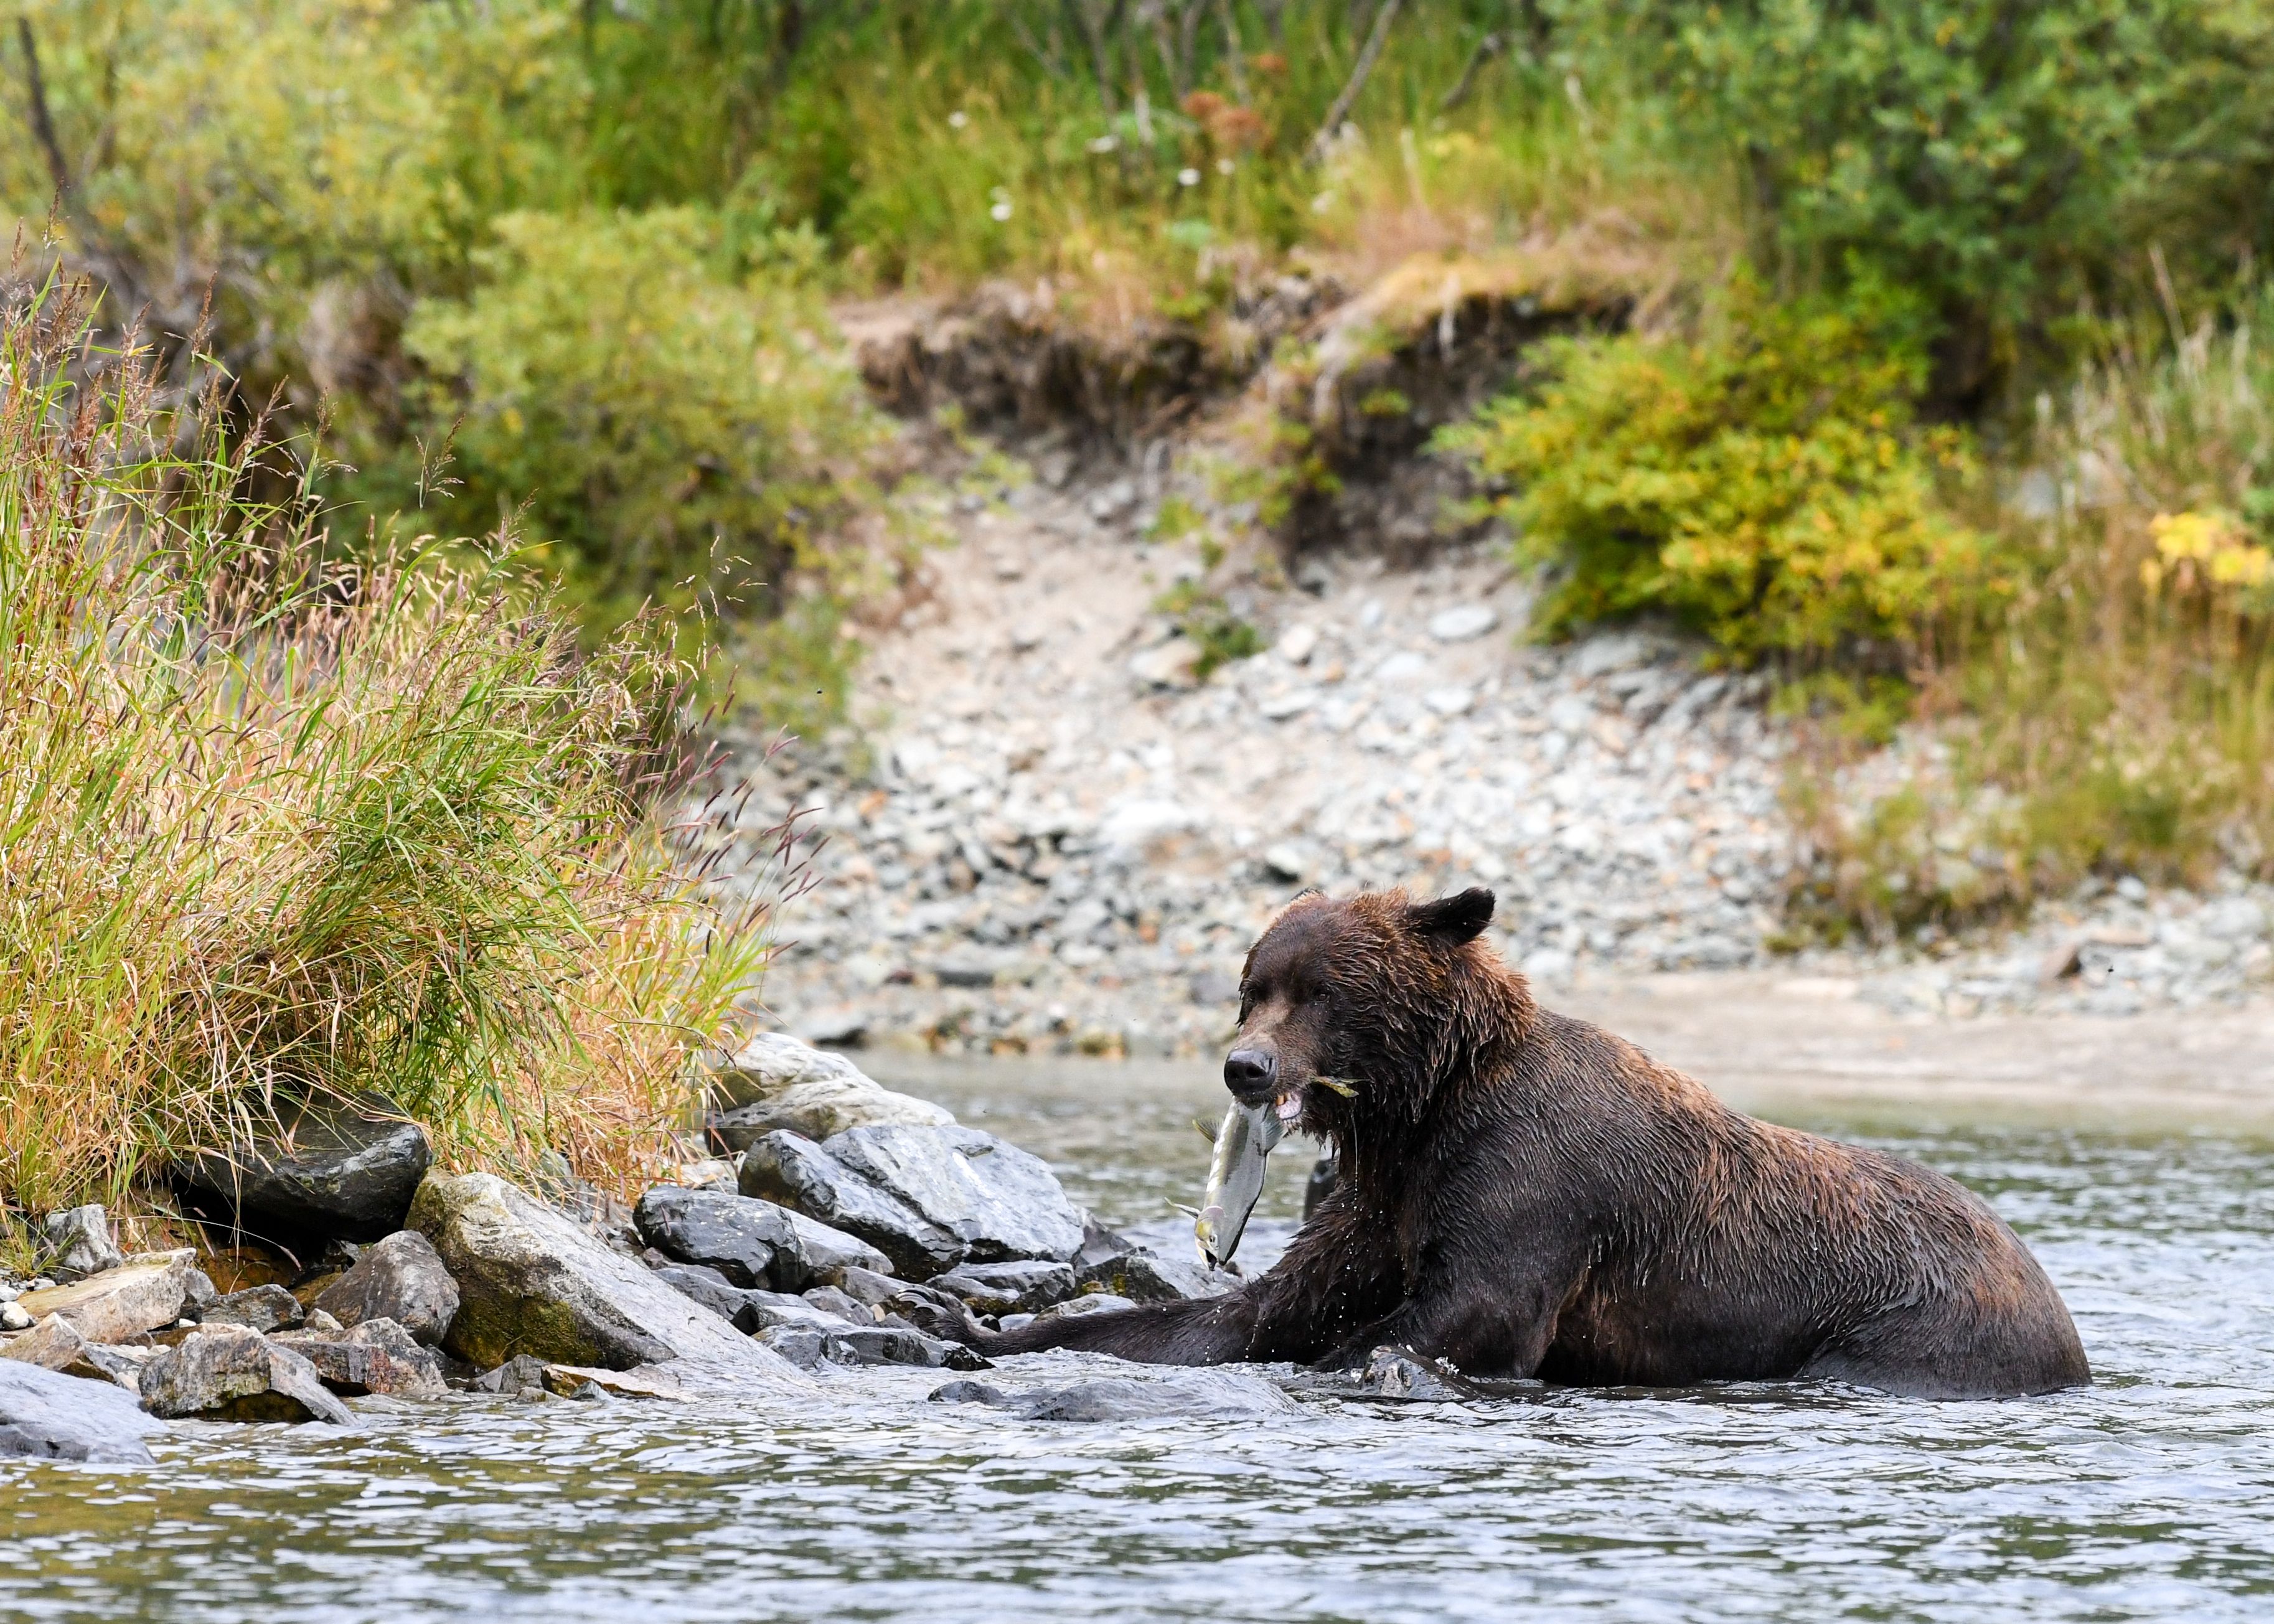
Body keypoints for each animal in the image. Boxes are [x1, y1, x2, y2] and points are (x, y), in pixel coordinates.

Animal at [918, 887, 2091, 1398]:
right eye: (1252, 984)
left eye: (1319, 991)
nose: (1243, 1067)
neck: (1425, 1104)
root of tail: (2051, 1293)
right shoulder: (1383, 1195)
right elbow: (1243, 1313)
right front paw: (972, 1326)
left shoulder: (1531, 1179)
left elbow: (1469, 1310)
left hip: (1910, 1325)